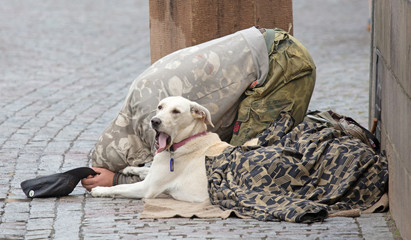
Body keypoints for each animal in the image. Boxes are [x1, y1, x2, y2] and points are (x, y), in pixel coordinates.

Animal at [91, 96, 232, 202]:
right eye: (160, 107)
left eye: (176, 111)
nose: (154, 121)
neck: (186, 141)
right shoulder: (153, 174)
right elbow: (146, 170)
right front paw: (129, 169)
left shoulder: (147, 187)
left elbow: (119, 187)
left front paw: (100, 190)